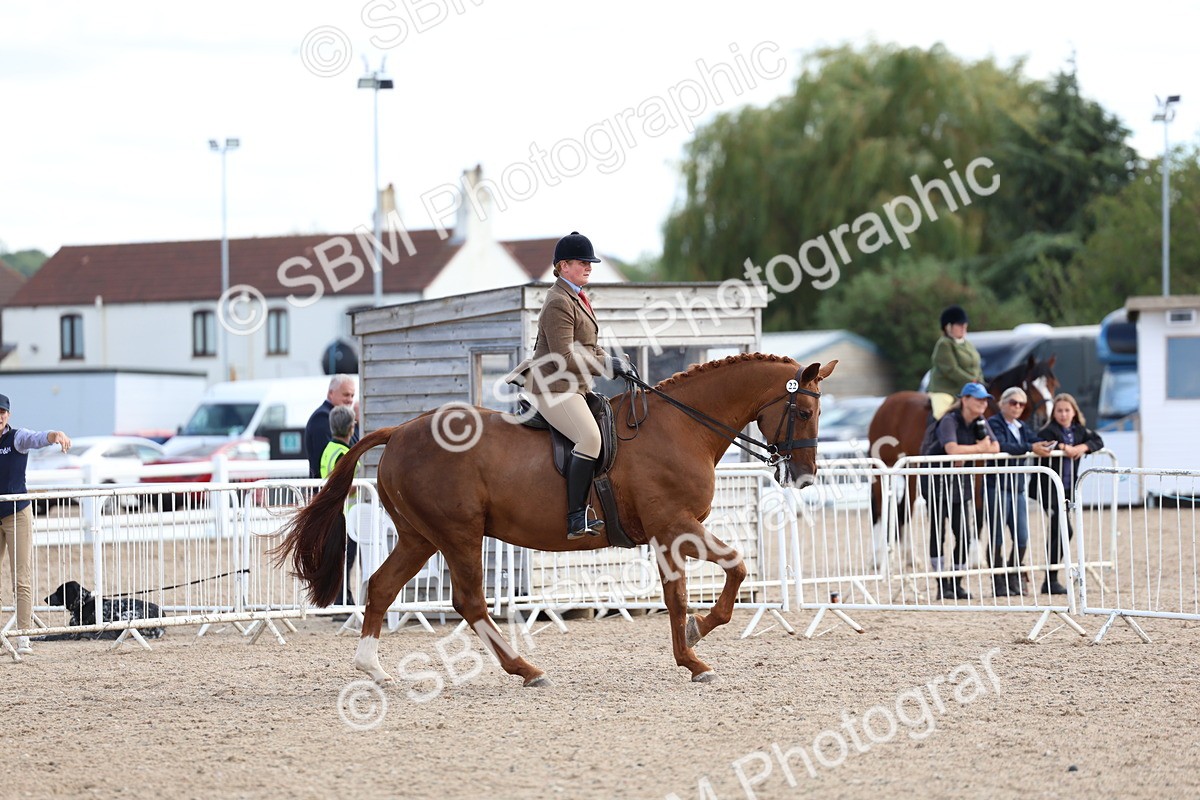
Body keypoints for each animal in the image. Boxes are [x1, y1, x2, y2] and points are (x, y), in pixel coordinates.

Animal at [273, 354, 838, 686]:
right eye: (804, 413)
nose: (804, 478)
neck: (682, 427)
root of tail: (400, 430)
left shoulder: (668, 534)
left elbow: (680, 595)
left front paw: (691, 655)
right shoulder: (676, 524)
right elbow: (733, 568)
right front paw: (700, 641)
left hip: (419, 537)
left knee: (382, 586)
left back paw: (372, 668)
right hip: (458, 534)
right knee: (469, 602)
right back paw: (525, 670)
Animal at [866, 354, 1059, 544]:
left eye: (1052, 384)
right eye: (1031, 384)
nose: (1046, 418)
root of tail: (886, 402)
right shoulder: (979, 470)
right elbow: (979, 510)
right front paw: (975, 551)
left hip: (911, 467)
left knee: (906, 507)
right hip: (884, 463)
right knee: (879, 508)